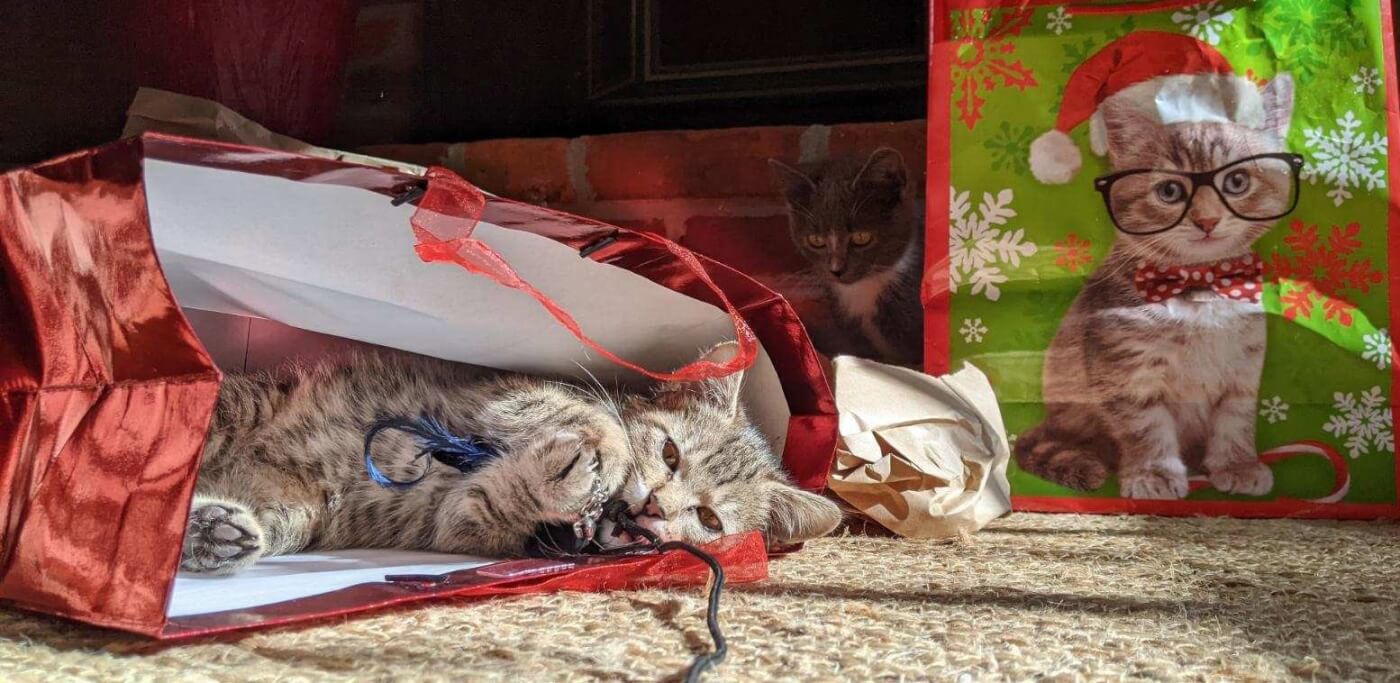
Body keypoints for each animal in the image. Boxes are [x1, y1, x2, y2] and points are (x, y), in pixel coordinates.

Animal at [179, 344, 834, 573]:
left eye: (710, 520)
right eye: (670, 453)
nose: (654, 507)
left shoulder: (462, 519)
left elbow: (490, 502)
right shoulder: (507, 391)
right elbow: (591, 418)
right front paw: (606, 449)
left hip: (298, 514)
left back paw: (211, 532)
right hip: (236, 406)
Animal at [1019, 32, 1299, 498]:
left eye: (1236, 182)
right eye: (1170, 191)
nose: (1206, 220)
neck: (1198, 289)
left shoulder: (1243, 363)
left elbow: (1235, 418)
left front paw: (1237, 463)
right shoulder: (1124, 365)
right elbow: (1144, 424)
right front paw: (1153, 473)